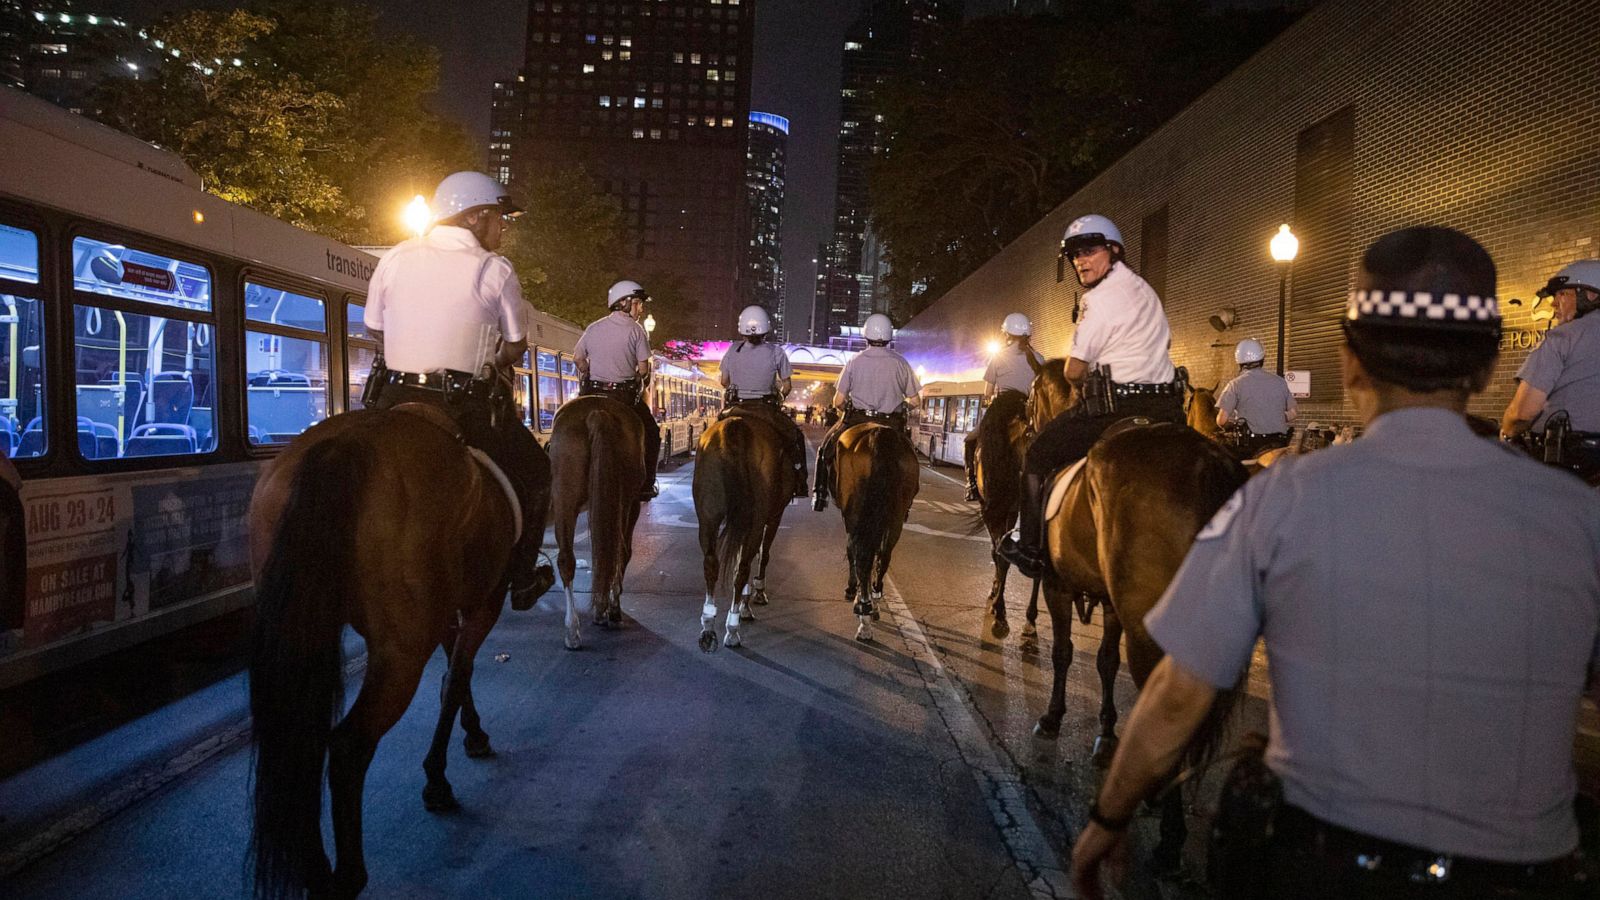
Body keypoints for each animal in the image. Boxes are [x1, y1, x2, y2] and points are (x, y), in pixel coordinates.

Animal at [249, 406, 544, 896]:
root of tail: (344, 446)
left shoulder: (443, 610)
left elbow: (454, 672)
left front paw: (471, 735)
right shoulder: (484, 600)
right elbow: (456, 675)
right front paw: (438, 779)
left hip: (302, 630)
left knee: (299, 740)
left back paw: (315, 872)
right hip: (401, 651)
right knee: (348, 746)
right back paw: (346, 878)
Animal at [550, 395, 643, 646]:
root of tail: (597, 412)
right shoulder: (630, 504)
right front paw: (608, 608)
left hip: (565, 500)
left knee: (567, 559)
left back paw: (572, 629)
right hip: (622, 501)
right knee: (617, 553)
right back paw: (606, 612)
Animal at [691, 409, 790, 646]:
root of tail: (735, 428)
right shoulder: (774, 517)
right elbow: (762, 555)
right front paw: (756, 595)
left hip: (708, 517)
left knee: (711, 564)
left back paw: (708, 624)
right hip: (755, 520)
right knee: (743, 569)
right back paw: (733, 628)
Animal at [832, 419, 921, 637]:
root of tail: (879, 435)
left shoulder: (851, 518)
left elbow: (853, 551)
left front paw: (853, 592)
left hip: (856, 513)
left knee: (863, 556)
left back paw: (863, 612)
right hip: (895, 516)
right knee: (883, 555)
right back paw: (874, 598)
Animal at [1024, 357, 1248, 871]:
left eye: (1031, 395)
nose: (1026, 424)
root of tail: (1207, 464)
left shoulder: (1057, 585)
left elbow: (1064, 652)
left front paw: (1053, 717)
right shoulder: (1110, 601)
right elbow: (1105, 662)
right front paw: (1106, 735)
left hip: (1150, 626)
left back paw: (1168, 834)